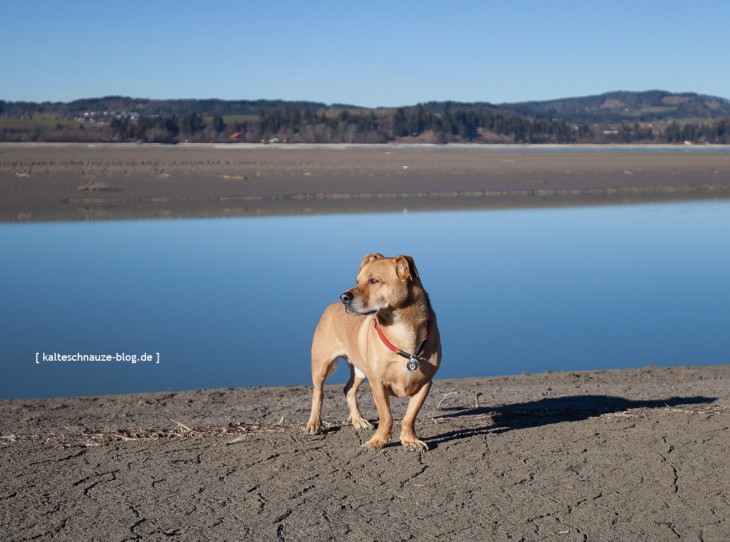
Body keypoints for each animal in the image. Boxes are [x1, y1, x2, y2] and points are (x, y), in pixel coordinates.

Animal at [306, 255, 440, 450]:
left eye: (373, 281)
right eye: (357, 280)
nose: (343, 297)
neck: (401, 330)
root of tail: (331, 306)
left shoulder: (425, 384)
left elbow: (409, 417)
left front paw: (409, 439)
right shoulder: (377, 383)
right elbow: (386, 416)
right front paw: (379, 440)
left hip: (360, 371)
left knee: (349, 390)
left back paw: (358, 420)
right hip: (321, 365)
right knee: (318, 393)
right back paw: (314, 423)